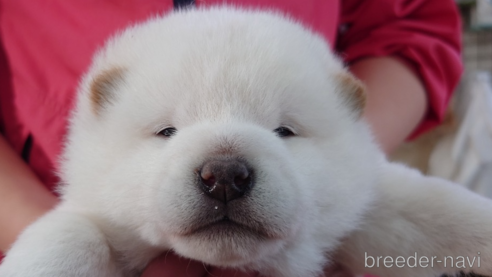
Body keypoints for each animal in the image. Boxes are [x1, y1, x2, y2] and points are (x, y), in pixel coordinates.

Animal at [0, 5, 492, 276]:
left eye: (284, 131)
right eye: (167, 131)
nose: (224, 175)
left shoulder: (368, 210)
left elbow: (438, 211)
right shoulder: (95, 218)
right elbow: (69, 239)